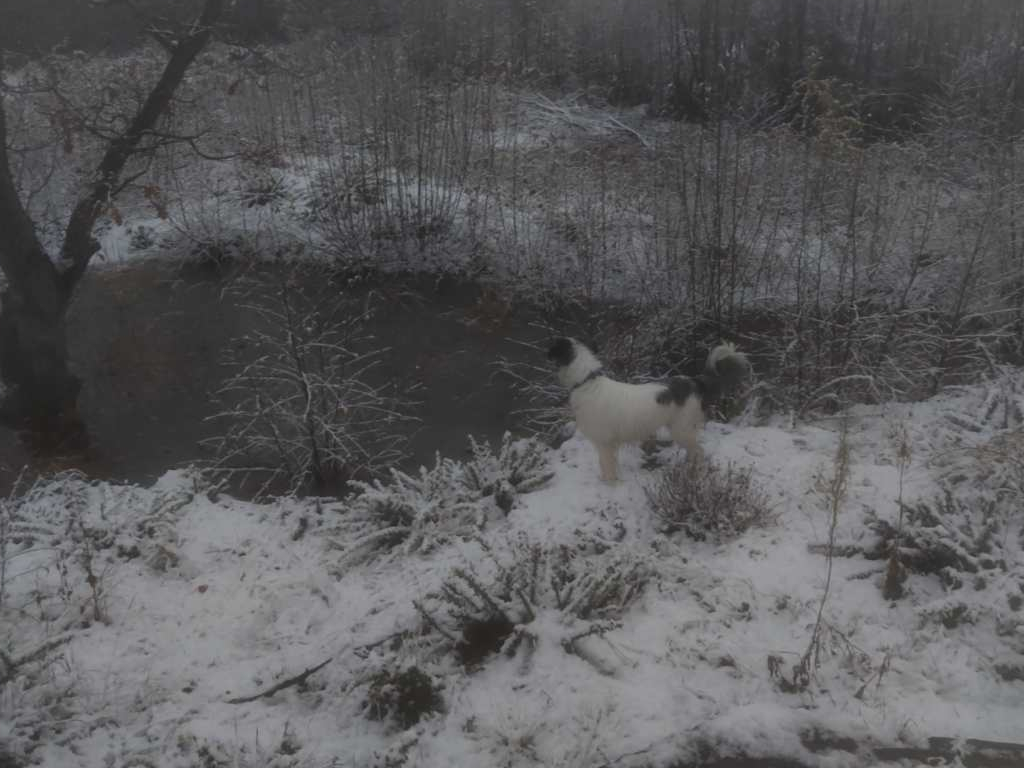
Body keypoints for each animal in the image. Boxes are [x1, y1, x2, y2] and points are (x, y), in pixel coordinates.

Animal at [544, 339, 753, 483]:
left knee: (698, 452)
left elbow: (607, 466)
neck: (587, 383)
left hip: (682, 430)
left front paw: (608, 484)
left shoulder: (604, 443)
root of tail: (694, 382)